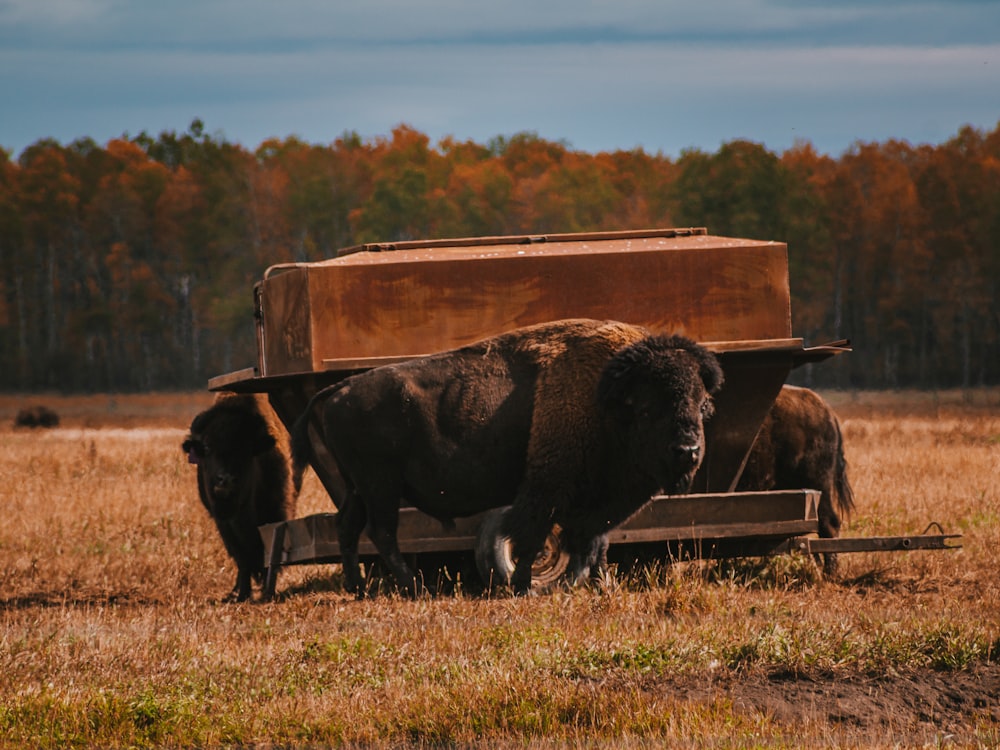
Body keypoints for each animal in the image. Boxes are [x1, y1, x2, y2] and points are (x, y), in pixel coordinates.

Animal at [183, 394, 300, 604]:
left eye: (245, 448)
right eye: (207, 447)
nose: (225, 479)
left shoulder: (277, 512)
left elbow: (270, 554)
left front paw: (266, 590)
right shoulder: (224, 524)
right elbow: (242, 559)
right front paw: (243, 594)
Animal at [292, 318, 724, 600]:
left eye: (702, 404)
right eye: (648, 409)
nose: (687, 452)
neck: (605, 400)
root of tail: (340, 389)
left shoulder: (600, 502)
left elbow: (596, 541)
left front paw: (602, 584)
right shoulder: (546, 489)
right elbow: (533, 535)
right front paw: (523, 586)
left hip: (359, 488)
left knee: (349, 527)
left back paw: (359, 588)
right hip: (380, 487)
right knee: (381, 532)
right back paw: (413, 587)